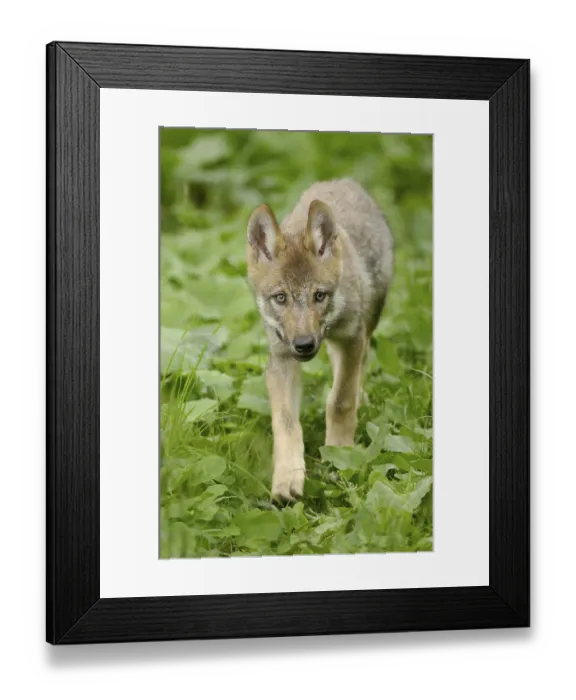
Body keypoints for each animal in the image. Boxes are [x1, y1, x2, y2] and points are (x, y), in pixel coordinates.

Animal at [246, 178, 394, 502]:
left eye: (319, 295)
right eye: (281, 298)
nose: (304, 344)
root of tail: (343, 181)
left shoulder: (352, 338)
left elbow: (340, 401)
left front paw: (339, 455)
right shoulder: (281, 360)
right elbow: (287, 424)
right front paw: (287, 479)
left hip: (363, 328)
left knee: (356, 372)